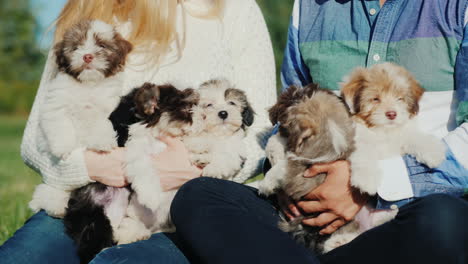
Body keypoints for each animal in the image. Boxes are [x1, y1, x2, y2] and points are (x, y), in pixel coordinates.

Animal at [340, 63, 446, 196]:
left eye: (400, 98)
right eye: (375, 99)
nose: (391, 114)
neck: (385, 132)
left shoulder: (403, 135)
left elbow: (415, 138)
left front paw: (433, 152)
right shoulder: (358, 140)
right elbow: (364, 153)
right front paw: (367, 179)